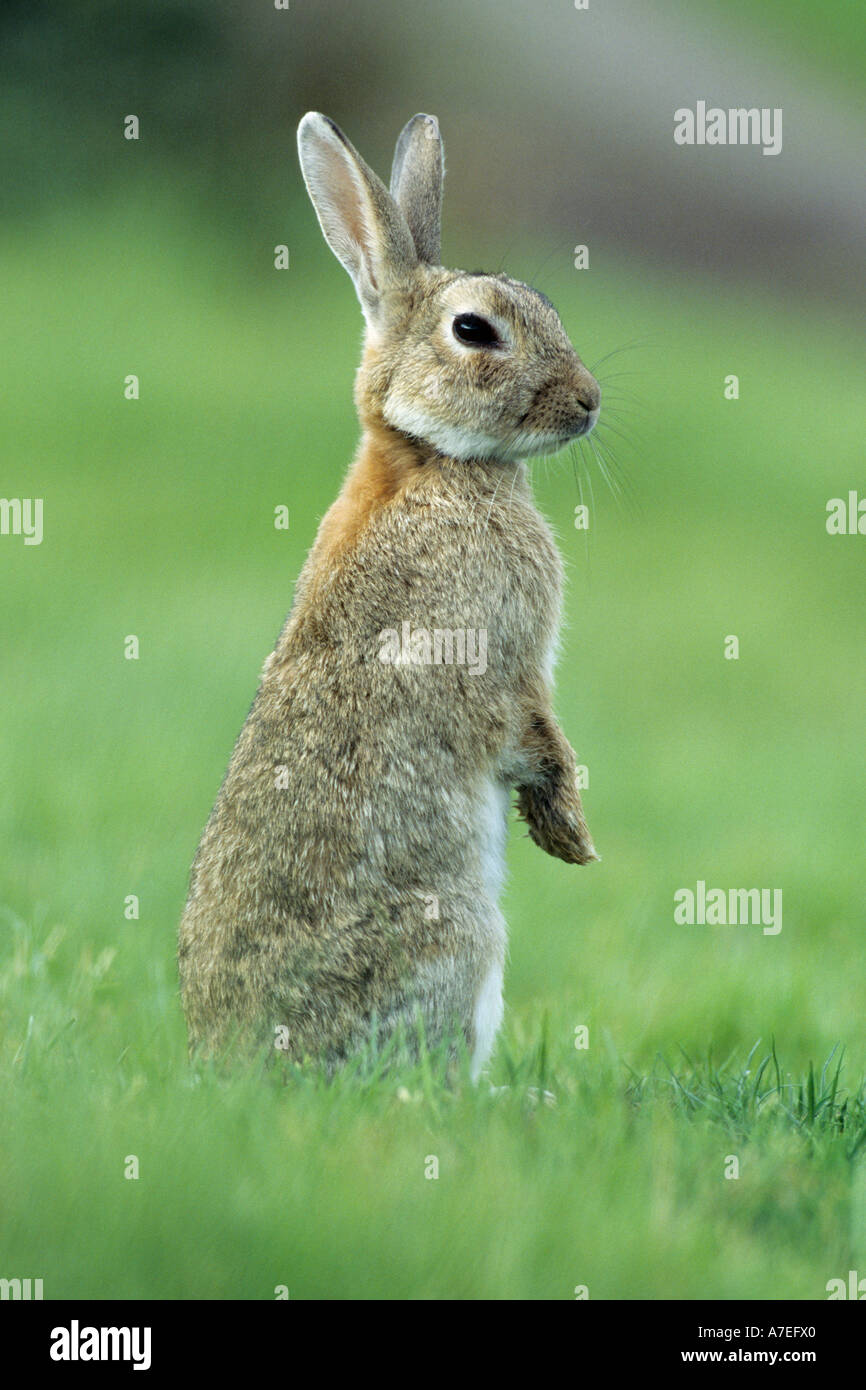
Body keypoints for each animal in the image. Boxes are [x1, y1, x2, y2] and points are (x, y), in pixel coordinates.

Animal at [178, 111, 600, 1079]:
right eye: (475, 330)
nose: (589, 403)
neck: (427, 459)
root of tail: (241, 1062)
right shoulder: (509, 663)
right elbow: (534, 734)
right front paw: (569, 833)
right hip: (462, 934)